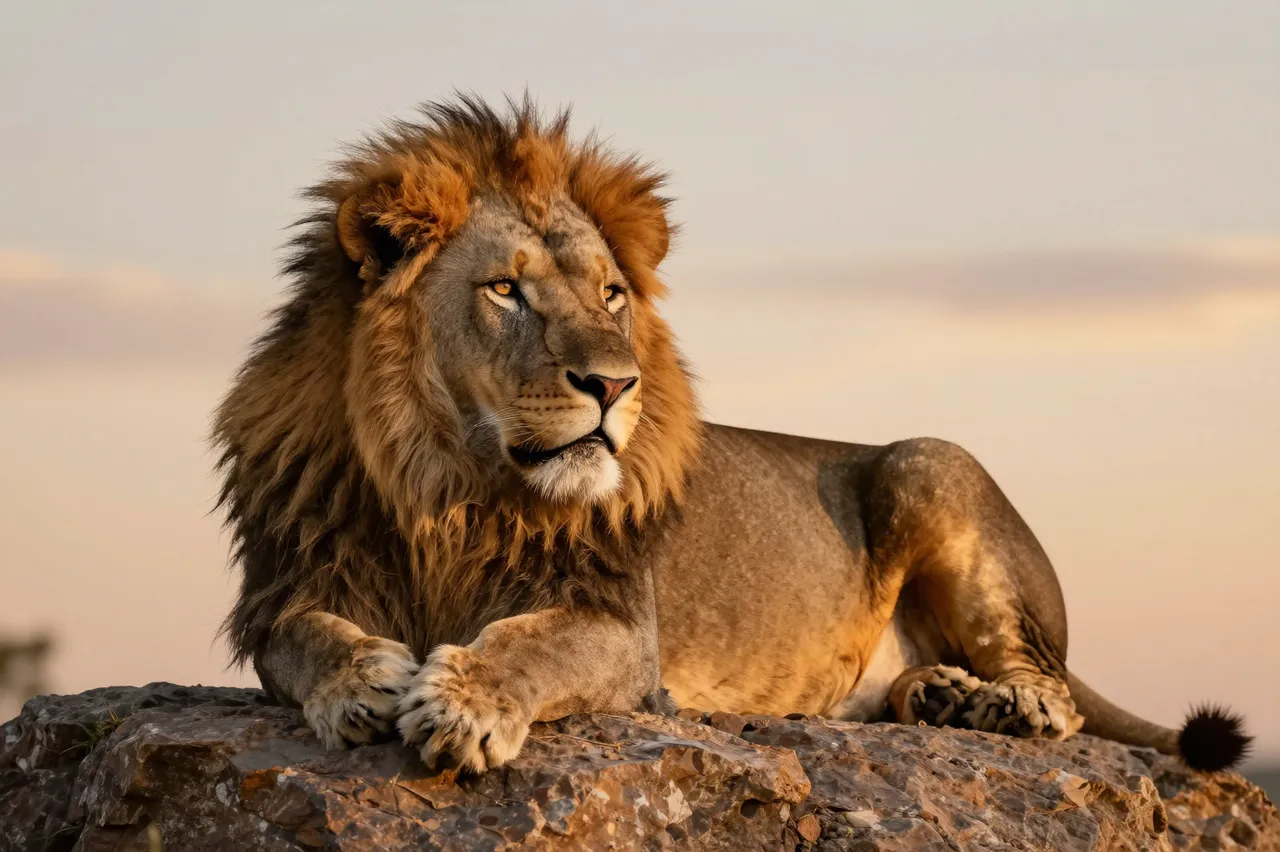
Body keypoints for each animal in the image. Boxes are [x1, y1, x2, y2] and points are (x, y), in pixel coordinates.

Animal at [213, 95, 1251, 775]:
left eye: (611, 295)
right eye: (504, 289)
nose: (613, 384)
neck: (446, 488)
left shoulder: (619, 626)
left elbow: (529, 645)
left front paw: (462, 704)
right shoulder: (290, 587)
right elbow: (303, 640)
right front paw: (363, 681)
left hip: (933, 463)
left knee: (1063, 694)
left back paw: (1012, 703)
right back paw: (945, 697)